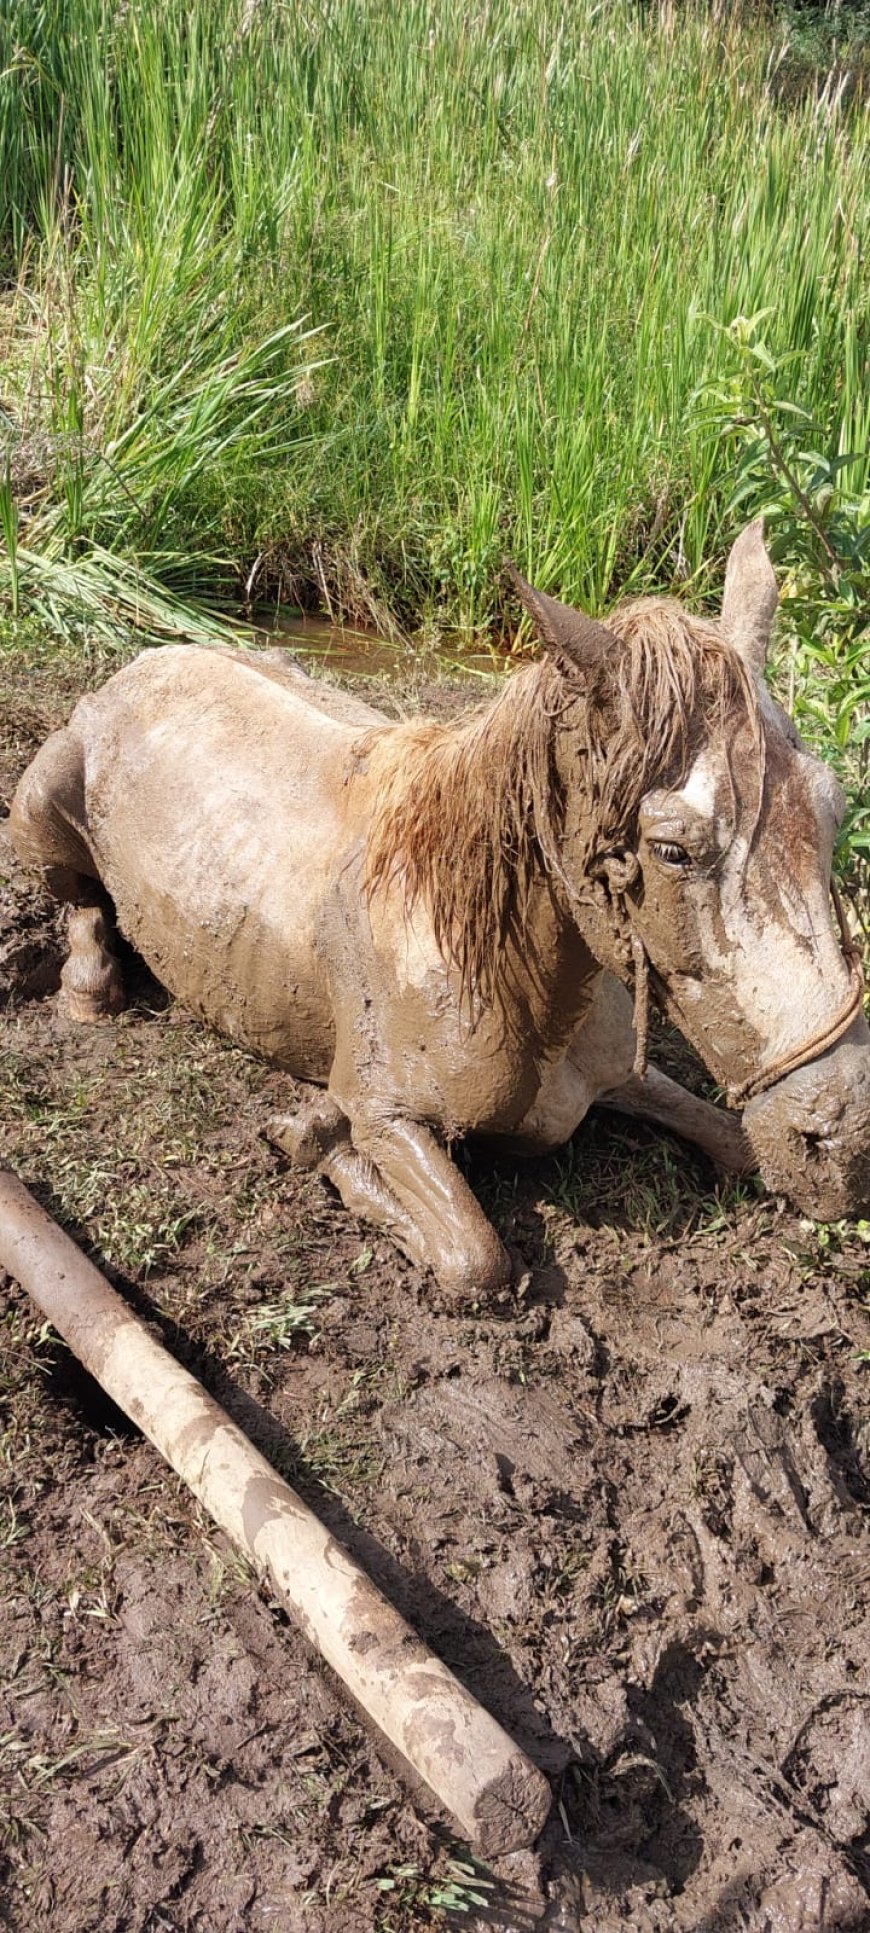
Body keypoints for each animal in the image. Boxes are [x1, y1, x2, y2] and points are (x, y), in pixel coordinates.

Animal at [10, 521, 866, 1291]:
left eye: (833, 808)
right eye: (672, 850)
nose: (847, 1142)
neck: (494, 966)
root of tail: (143, 660)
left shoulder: (622, 1077)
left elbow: (734, 1140)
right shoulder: (387, 1114)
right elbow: (473, 1260)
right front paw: (313, 1137)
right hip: (38, 811)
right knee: (80, 901)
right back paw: (90, 990)